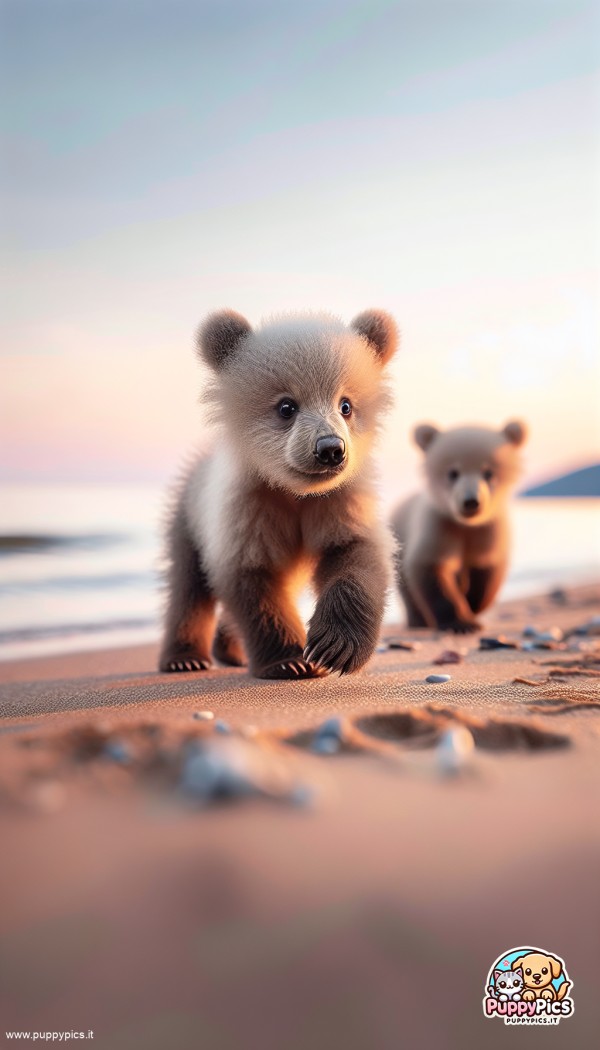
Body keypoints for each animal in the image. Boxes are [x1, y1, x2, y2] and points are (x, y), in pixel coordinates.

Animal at [159, 308, 399, 679]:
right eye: (287, 406)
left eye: (345, 405)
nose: (330, 449)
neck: (295, 492)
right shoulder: (250, 506)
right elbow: (252, 578)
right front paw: (290, 660)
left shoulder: (337, 500)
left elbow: (355, 552)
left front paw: (335, 648)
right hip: (189, 518)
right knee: (188, 586)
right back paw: (185, 657)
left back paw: (229, 650)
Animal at [390, 420, 527, 633]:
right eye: (453, 473)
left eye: (488, 472)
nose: (471, 502)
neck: (466, 526)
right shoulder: (440, 525)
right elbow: (430, 567)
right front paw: (460, 623)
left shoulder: (487, 530)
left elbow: (486, 569)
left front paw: (471, 607)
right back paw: (418, 621)